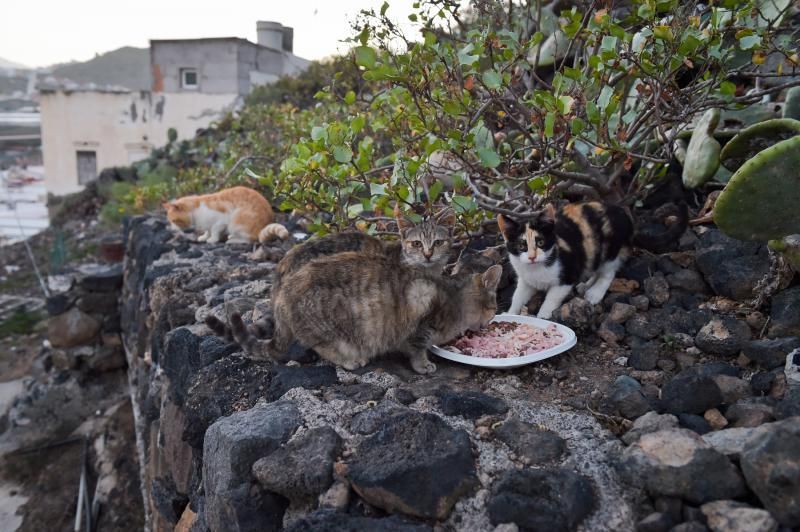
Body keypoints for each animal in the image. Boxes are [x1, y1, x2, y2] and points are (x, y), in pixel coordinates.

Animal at [225, 252, 500, 374]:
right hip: (331, 329)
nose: (492, 320)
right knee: (323, 347)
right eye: (495, 306)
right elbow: (418, 350)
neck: (454, 299)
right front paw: (424, 365)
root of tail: (282, 295)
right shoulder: (420, 325)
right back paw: (351, 360)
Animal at [496, 203, 636, 320]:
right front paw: (510, 313)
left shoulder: (567, 275)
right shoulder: (526, 279)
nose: (532, 257)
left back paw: (595, 292)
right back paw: (586, 285)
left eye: (540, 242)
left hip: (610, 248)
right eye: (521, 246)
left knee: (608, 272)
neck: (536, 268)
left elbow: (552, 297)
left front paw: (543, 315)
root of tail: (622, 211)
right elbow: (518, 295)